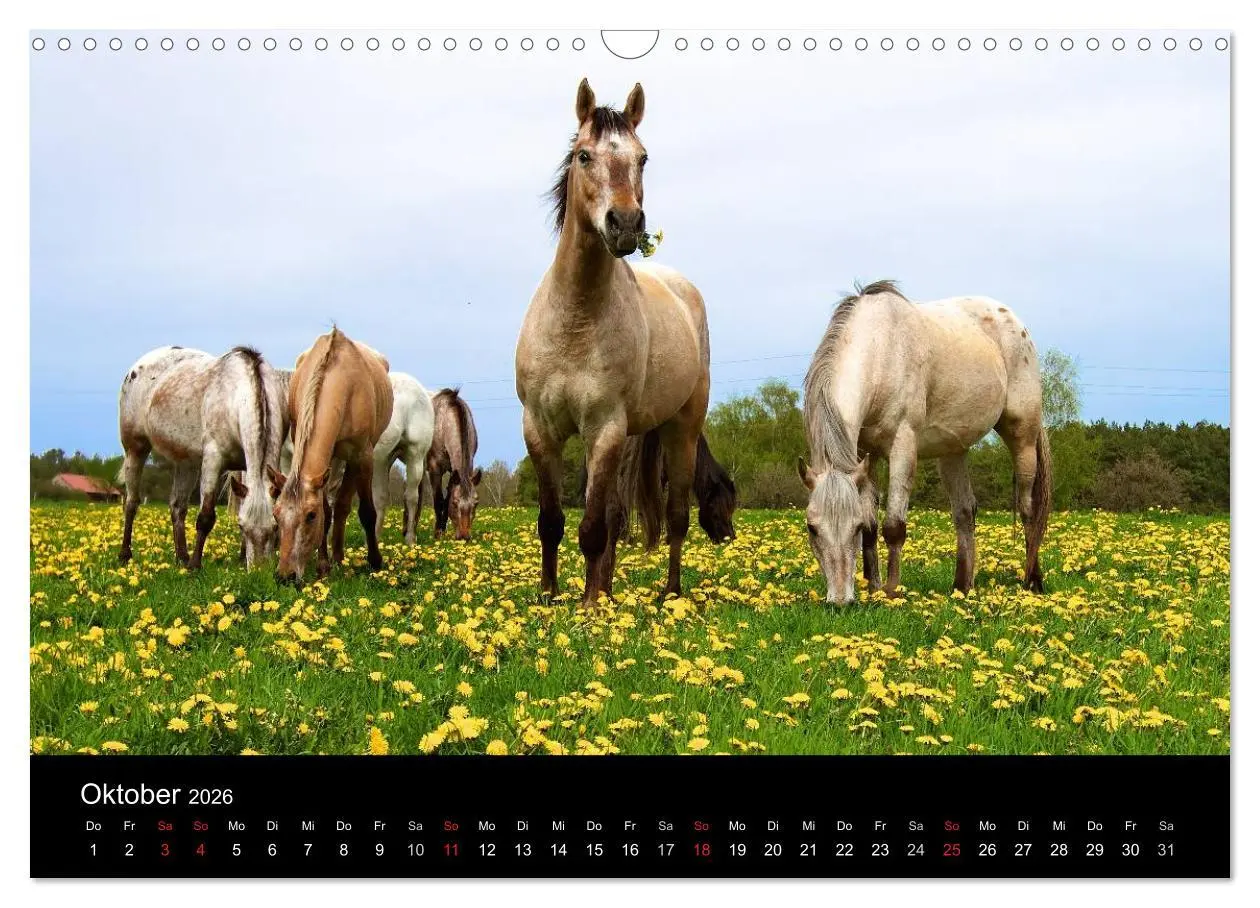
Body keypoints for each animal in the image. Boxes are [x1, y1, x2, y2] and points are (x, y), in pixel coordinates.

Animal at [118, 346, 291, 569]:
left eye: (275, 527)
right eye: (241, 526)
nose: (259, 570)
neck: (236, 396)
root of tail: (139, 365)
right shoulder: (213, 460)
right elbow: (206, 516)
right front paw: (195, 566)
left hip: (186, 463)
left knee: (177, 507)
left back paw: (181, 558)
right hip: (135, 449)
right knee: (131, 503)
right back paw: (125, 555)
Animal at [271, 327, 393, 583]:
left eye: (310, 515)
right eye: (276, 515)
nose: (285, 576)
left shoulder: (362, 456)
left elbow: (367, 512)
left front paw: (375, 562)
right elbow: (327, 511)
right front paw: (323, 566)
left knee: (344, 504)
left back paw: (341, 557)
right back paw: (335, 558)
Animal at [427, 387, 481, 540]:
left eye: (476, 504)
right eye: (455, 504)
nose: (464, 536)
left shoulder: (455, 472)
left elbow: (446, 500)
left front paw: (443, 530)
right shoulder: (434, 469)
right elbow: (439, 500)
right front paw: (438, 533)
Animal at [514, 78, 725, 605]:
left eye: (643, 157)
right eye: (584, 155)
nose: (626, 224)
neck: (574, 321)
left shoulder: (604, 428)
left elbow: (591, 528)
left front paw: (589, 605)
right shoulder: (539, 429)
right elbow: (552, 523)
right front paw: (548, 596)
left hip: (680, 430)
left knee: (675, 518)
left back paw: (668, 593)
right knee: (613, 516)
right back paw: (608, 587)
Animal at [797, 280, 1052, 603]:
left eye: (852, 527)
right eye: (811, 528)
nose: (840, 601)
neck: (882, 350)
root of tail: (1013, 320)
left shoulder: (903, 444)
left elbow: (893, 526)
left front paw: (891, 592)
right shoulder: (864, 455)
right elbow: (873, 526)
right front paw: (873, 588)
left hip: (1023, 436)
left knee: (1028, 510)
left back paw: (1032, 582)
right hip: (954, 451)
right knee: (965, 513)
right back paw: (961, 587)